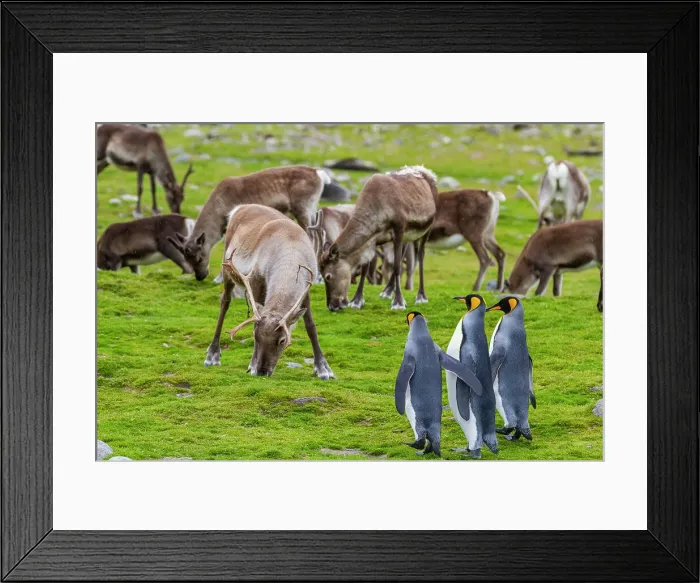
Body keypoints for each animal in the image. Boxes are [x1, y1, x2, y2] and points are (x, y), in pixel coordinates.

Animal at [168, 166, 331, 282]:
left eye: (199, 258)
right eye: (186, 259)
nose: (200, 277)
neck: (218, 204)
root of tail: (318, 173)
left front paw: (219, 278)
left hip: (302, 208)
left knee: (311, 236)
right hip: (311, 210)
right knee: (320, 233)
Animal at [203, 204, 335, 380]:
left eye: (282, 340)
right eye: (256, 337)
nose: (262, 371)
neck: (290, 246)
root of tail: (239, 208)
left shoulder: (306, 289)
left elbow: (311, 326)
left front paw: (323, 368)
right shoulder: (256, 281)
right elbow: (253, 320)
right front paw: (252, 365)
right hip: (227, 269)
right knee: (224, 303)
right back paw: (213, 355)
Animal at [319, 165, 438, 311]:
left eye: (328, 276)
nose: (332, 306)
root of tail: (428, 172)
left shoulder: (399, 228)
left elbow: (396, 267)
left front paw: (398, 302)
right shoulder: (374, 239)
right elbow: (365, 268)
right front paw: (357, 300)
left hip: (427, 227)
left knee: (421, 254)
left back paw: (421, 296)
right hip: (407, 234)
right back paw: (387, 291)